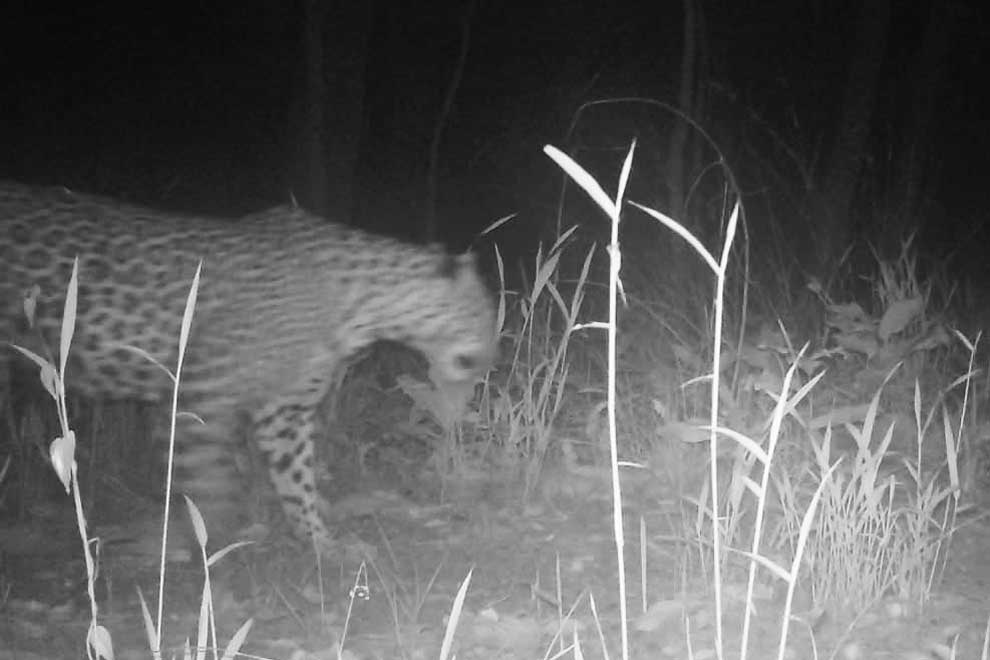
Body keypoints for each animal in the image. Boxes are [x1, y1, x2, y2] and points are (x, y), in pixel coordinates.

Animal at [0, 180, 498, 550]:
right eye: (484, 314)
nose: (493, 359)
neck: (363, 307)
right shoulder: (200, 394)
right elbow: (207, 480)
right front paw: (205, 544)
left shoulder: (285, 411)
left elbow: (297, 480)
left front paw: (322, 544)